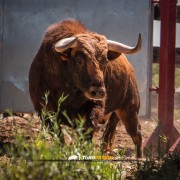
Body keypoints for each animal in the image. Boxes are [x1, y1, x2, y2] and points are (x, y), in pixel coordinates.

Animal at [28, 18, 143, 158]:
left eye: (105, 62)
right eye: (79, 61)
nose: (98, 92)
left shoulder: (94, 109)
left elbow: (87, 134)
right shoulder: (45, 112)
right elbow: (59, 137)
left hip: (129, 109)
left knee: (136, 134)